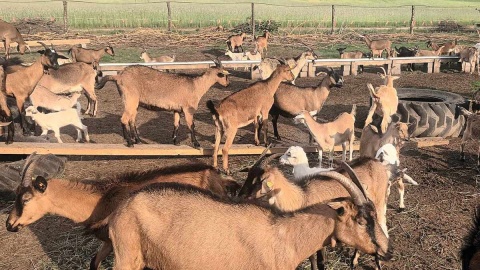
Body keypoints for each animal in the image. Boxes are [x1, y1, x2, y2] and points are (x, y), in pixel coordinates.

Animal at [96, 59, 231, 148]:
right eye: (224, 75)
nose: (228, 84)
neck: (196, 85)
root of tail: (119, 77)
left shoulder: (177, 109)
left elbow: (176, 124)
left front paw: (175, 142)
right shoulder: (188, 109)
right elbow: (191, 125)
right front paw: (197, 144)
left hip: (133, 103)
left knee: (132, 120)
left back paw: (138, 141)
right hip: (130, 100)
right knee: (124, 119)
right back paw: (130, 143)